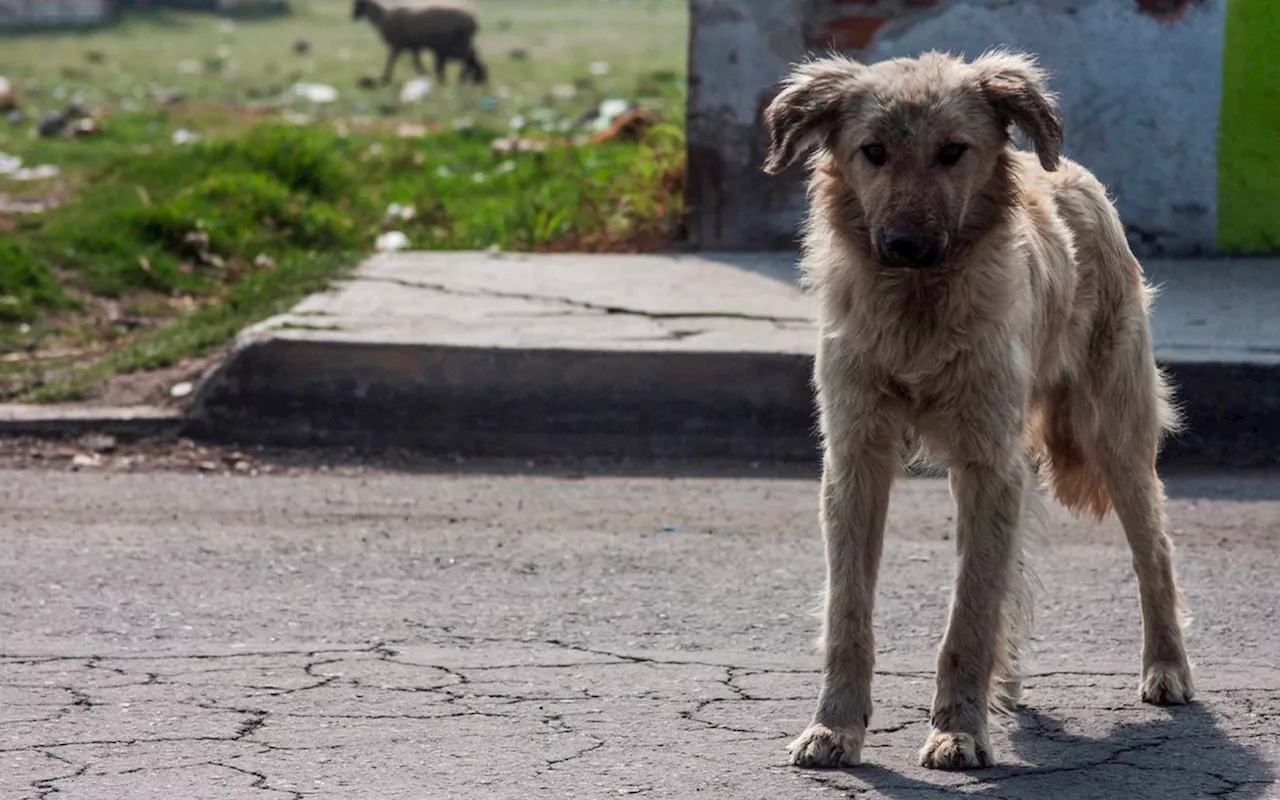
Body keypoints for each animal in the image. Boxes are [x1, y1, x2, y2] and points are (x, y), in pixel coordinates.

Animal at [353, 0, 486, 87]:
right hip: (461, 42)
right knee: (472, 57)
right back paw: (475, 78)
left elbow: (391, 61)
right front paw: (424, 75)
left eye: (358, 3)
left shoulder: (397, 44)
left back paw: (469, 78)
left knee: (470, 58)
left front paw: (386, 78)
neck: (383, 16)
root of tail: (473, 17)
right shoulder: (412, 45)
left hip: (458, 42)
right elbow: (416, 62)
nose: (352, 17)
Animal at [757, 48, 1187, 768]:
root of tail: (1074, 175)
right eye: (873, 152)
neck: (918, 310)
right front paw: (834, 726)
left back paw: (1166, 667)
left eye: (953, 151)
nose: (903, 243)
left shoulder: (988, 464)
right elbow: (849, 610)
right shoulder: (857, 458)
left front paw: (958, 729)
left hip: (1114, 435)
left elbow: (970, 612)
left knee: (1152, 549)